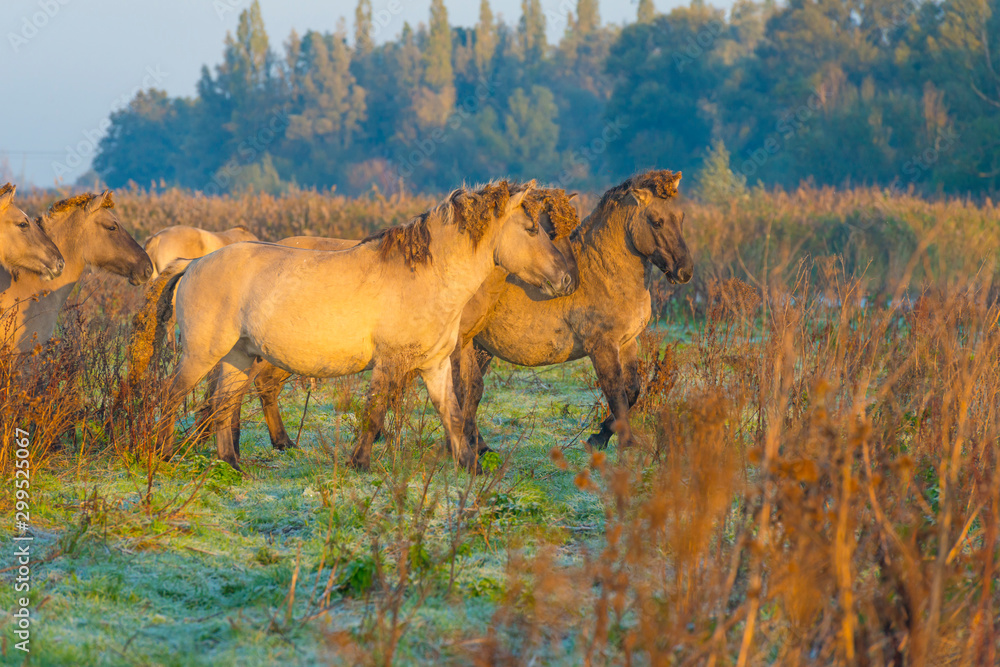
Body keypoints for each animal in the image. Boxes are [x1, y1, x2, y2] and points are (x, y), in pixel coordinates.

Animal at [134, 180, 577, 472]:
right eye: (531, 229)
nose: (566, 280)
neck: (427, 276)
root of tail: (193, 263)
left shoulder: (434, 365)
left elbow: (452, 416)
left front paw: (471, 467)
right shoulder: (391, 362)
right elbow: (376, 413)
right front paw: (359, 463)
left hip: (238, 358)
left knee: (223, 406)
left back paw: (232, 465)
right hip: (201, 355)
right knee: (172, 397)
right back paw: (163, 455)